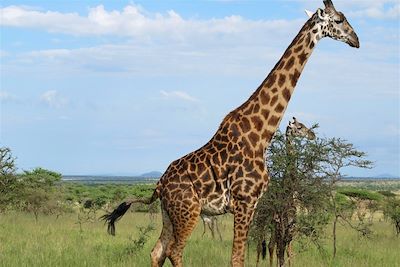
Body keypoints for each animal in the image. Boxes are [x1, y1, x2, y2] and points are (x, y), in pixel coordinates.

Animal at [101, 1, 358, 266]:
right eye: (339, 20)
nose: (356, 40)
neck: (261, 134)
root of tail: (159, 185)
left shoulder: (252, 205)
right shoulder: (245, 201)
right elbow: (237, 258)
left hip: (169, 214)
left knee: (157, 250)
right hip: (189, 212)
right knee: (174, 250)